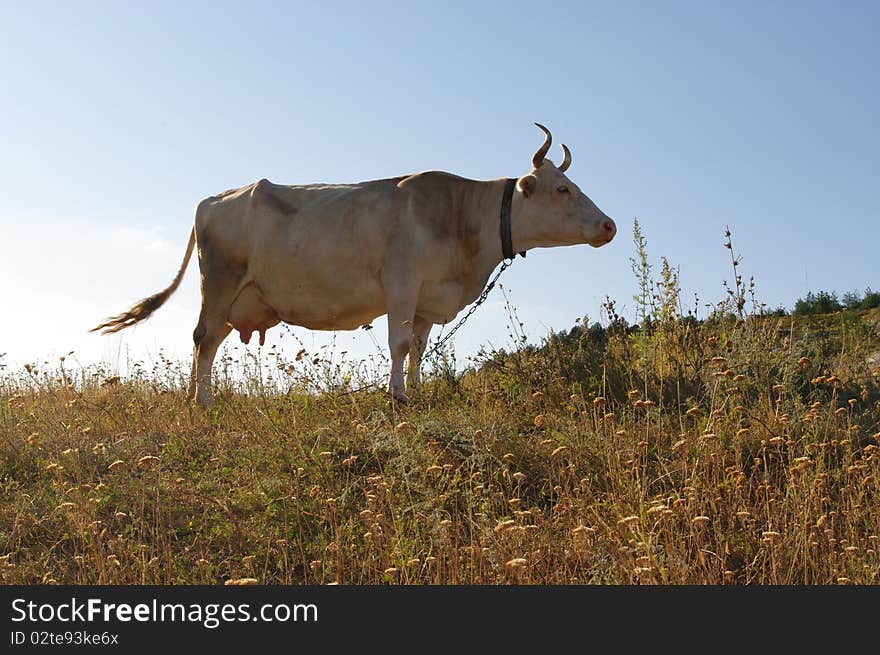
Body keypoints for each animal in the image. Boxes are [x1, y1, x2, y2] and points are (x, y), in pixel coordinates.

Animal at [93, 124, 616, 404]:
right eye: (563, 189)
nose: (609, 225)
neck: (460, 217)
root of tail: (215, 198)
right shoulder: (401, 284)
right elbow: (399, 344)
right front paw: (397, 397)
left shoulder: (426, 301)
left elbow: (420, 348)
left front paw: (417, 393)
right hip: (218, 282)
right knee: (202, 339)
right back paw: (200, 401)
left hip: (237, 295)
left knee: (210, 340)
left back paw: (200, 396)